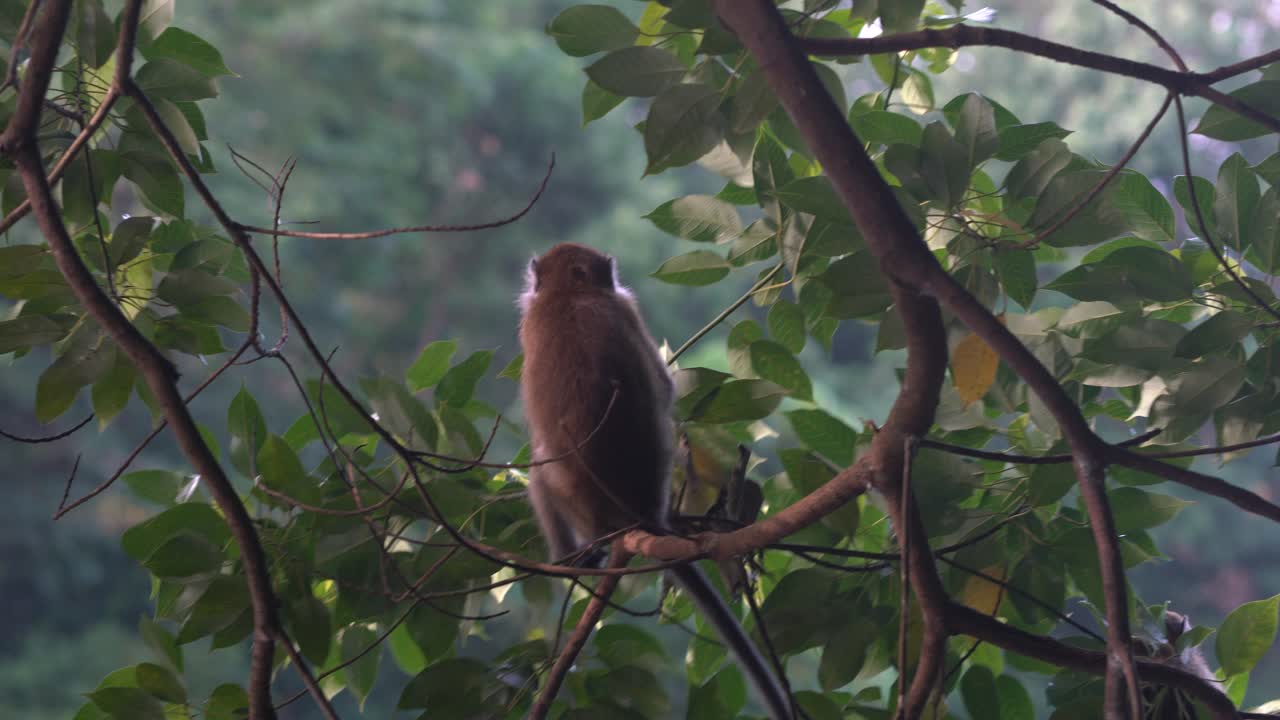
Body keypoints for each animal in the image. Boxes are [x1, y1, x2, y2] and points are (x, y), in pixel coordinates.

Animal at [518, 243, 793, 720]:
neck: (569, 295)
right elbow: (662, 391)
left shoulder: (613, 307)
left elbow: (664, 389)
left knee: (539, 468)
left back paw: (568, 556)